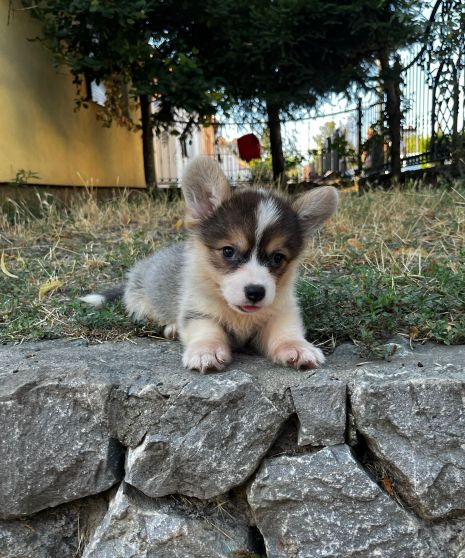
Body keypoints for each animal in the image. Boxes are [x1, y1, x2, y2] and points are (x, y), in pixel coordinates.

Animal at [81, 155, 338, 374]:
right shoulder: (198, 311)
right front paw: (207, 352)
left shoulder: (281, 312)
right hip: (142, 304)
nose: (255, 292)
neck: (238, 316)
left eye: (277, 258)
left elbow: (285, 332)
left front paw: (298, 348)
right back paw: (172, 327)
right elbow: (206, 330)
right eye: (228, 251)